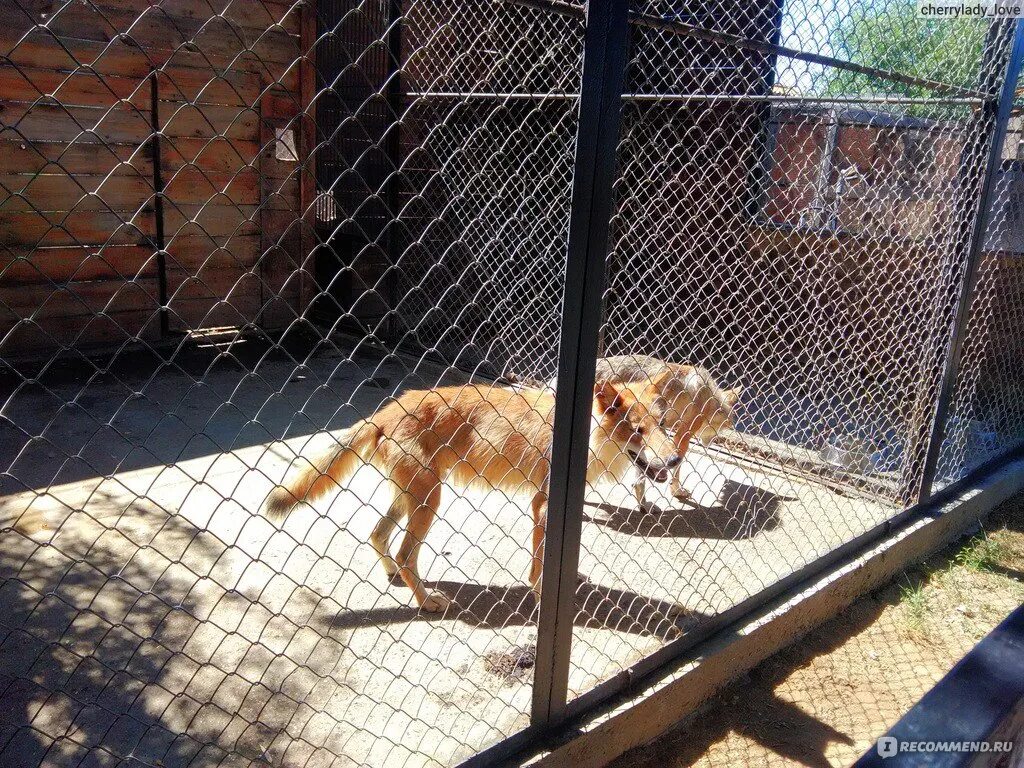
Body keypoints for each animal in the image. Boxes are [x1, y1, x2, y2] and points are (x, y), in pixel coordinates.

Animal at [264, 382, 679, 618]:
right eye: (637, 431)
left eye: (662, 426)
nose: (675, 460)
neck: (586, 437)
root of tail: (385, 411)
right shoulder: (542, 505)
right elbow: (539, 564)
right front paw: (541, 593)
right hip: (430, 501)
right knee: (404, 553)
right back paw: (426, 602)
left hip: (413, 498)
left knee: (377, 535)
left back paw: (394, 576)